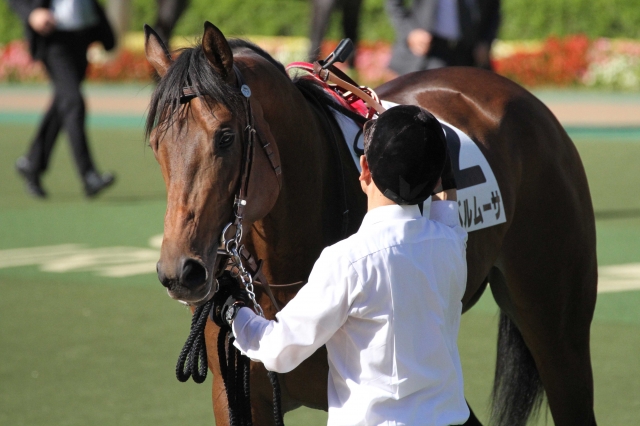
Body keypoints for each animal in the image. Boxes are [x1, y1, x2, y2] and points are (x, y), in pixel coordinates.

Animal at [144, 22, 598, 426]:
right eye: (155, 145)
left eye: (225, 136)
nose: (181, 271)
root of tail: (519, 96)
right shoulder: (238, 397)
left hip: (558, 331)